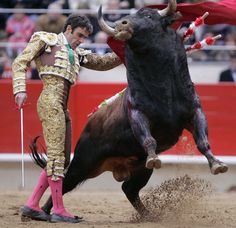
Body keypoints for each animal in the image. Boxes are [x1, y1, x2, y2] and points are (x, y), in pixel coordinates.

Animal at [32, 0, 228, 216]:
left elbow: (203, 141)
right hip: (85, 160)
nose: (121, 24)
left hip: (139, 168)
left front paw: (217, 164)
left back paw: (148, 215)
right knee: (65, 180)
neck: (163, 86)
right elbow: (149, 139)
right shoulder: (137, 114)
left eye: (150, 16)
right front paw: (154, 157)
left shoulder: (195, 112)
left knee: (129, 188)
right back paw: (44, 212)